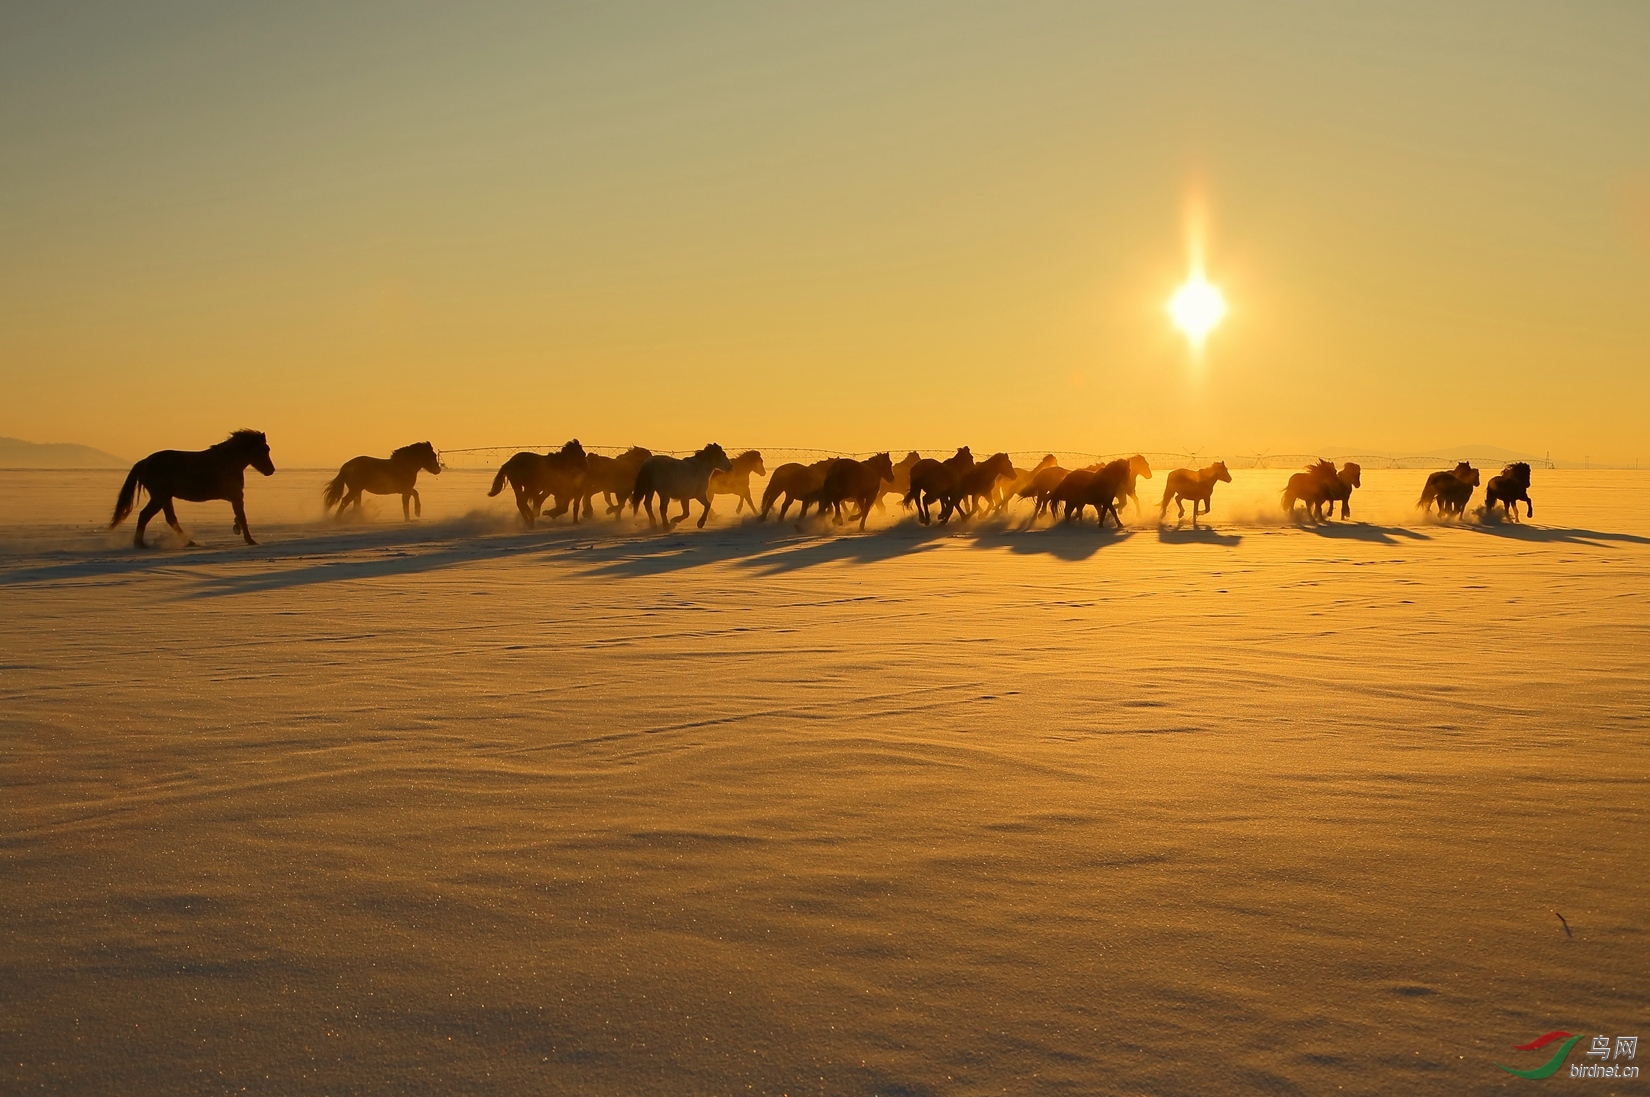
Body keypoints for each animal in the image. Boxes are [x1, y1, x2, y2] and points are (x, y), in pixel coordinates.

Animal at [112, 428, 277, 547]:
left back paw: (189, 542)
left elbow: (239, 515)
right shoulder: (236, 494)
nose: (271, 470)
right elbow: (242, 516)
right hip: (160, 497)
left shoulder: (231, 495)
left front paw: (237, 528)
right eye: (264, 449)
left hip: (165, 497)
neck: (228, 460)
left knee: (171, 519)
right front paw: (251, 540)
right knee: (145, 515)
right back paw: (140, 543)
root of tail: (145, 462)